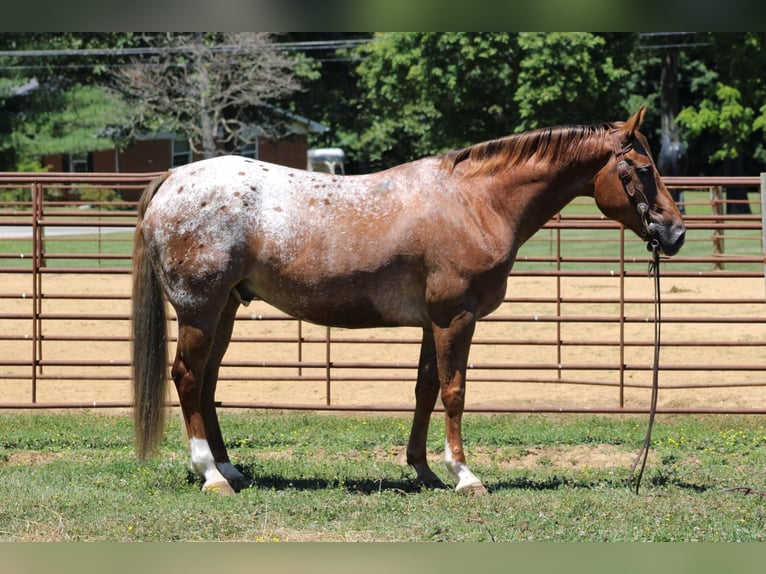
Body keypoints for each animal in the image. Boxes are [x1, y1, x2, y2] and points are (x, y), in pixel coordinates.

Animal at [130, 107, 684, 496]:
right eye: (642, 168)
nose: (676, 232)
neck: (474, 204)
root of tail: (174, 179)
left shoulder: (431, 322)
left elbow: (425, 389)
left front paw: (424, 470)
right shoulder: (455, 318)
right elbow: (455, 391)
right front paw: (465, 475)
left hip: (224, 309)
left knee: (206, 383)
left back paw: (229, 469)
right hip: (200, 310)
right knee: (187, 378)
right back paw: (211, 474)